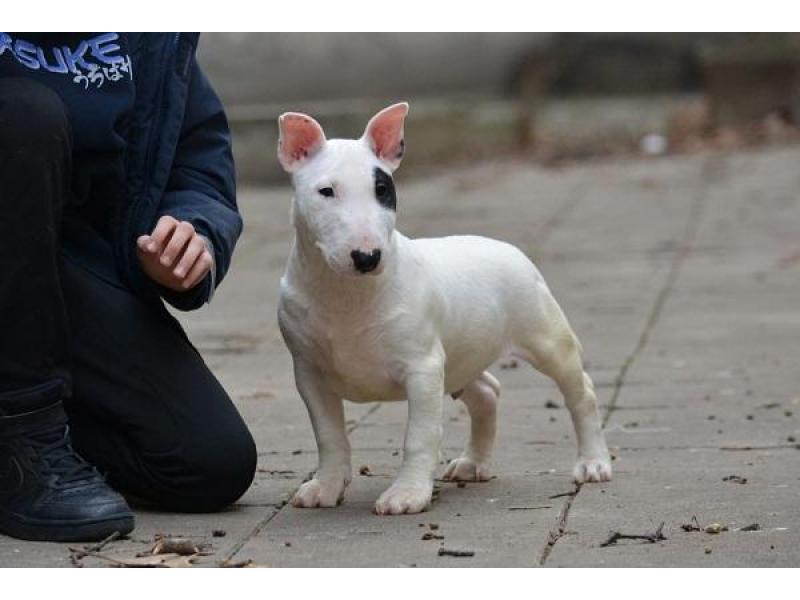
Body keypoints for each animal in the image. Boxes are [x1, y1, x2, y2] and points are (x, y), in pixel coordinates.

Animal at [276, 102, 611, 515]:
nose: (368, 257)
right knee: (487, 392)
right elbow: (328, 435)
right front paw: (324, 487)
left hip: (545, 337)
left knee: (581, 391)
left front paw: (406, 495)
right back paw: (472, 464)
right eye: (326, 191)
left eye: (382, 190)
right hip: (460, 359)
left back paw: (593, 463)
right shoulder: (309, 373)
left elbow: (419, 437)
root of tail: (509, 248)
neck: (346, 293)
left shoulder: (423, 368)